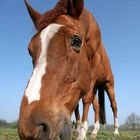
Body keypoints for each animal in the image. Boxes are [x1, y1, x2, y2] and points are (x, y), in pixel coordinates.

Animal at [18, 0, 118, 140]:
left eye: (77, 41)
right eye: (29, 50)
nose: (30, 129)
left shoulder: (90, 75)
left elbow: (85, 100)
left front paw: (81, 133)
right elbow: (77, 105)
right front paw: (77, 129)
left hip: (108, 85)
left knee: (113, 105)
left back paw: (115, 130)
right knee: (97, 107)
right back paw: (94, 131)